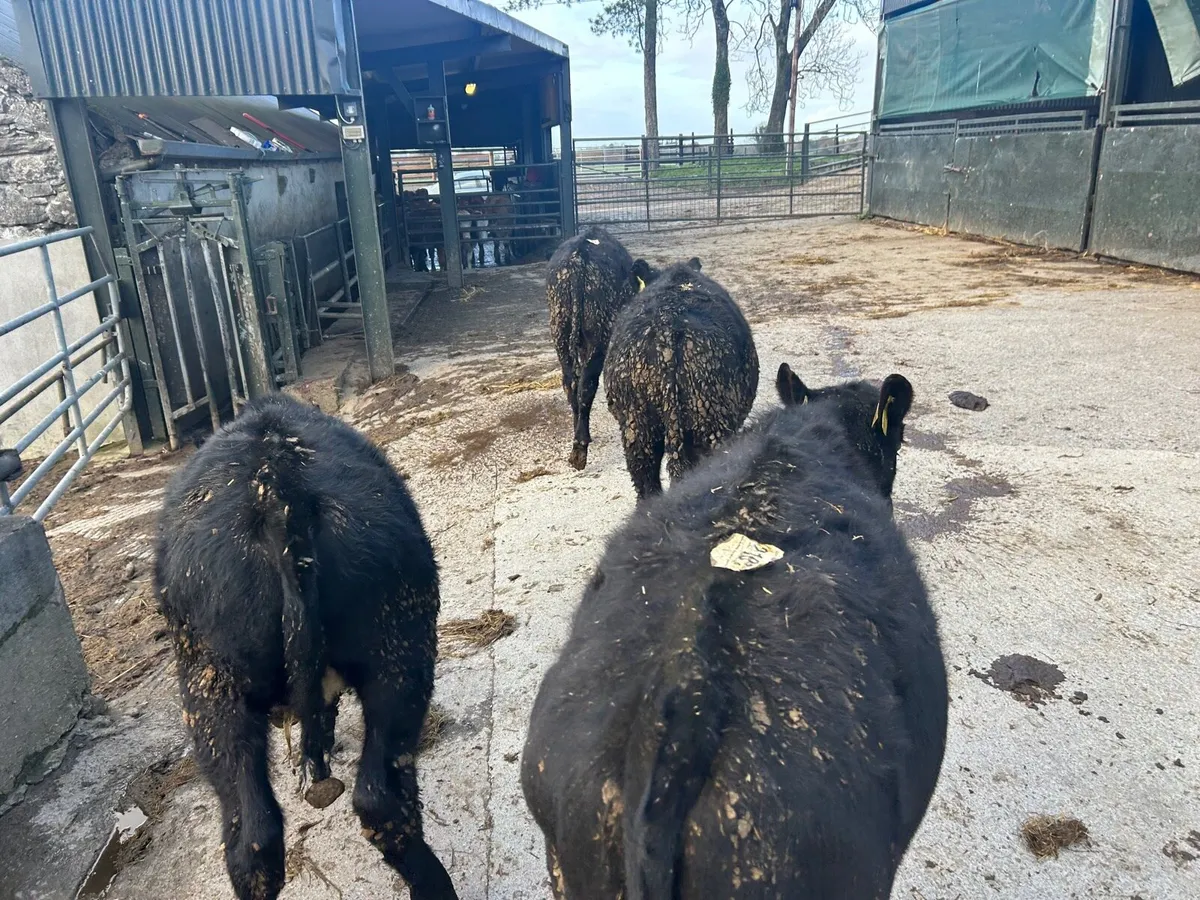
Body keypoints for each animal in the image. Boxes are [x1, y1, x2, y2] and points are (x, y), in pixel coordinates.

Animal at [546, 226, 650, 470]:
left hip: (560, 334)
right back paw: (580, 450)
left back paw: (578, 436)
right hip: (597, 339)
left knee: (570, 383)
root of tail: (578, 257)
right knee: (586, 384)